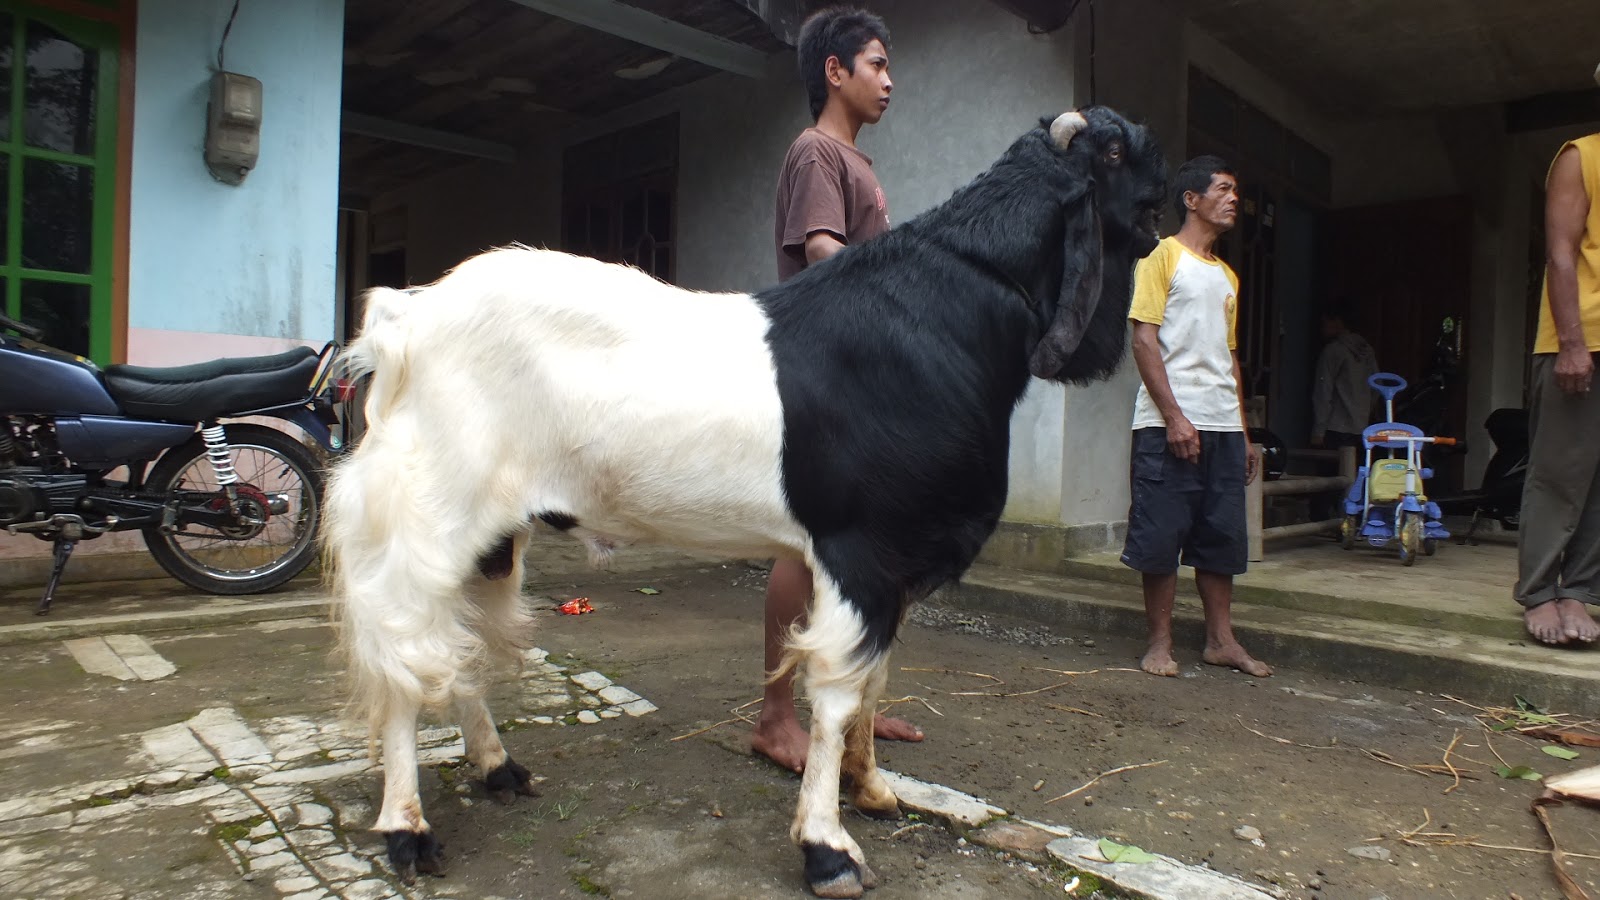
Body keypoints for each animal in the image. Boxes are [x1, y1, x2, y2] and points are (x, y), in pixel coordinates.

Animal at [321, 104, 1164, 890]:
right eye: (1120, 150)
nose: (1176, 202)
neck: (951, 307)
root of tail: (406, 318)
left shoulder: (893, 561)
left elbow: (877, 680)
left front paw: (873, 790)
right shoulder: (858, 549)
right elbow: (837, 691)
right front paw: (827, 848)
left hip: (489, 533)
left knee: (457, 644)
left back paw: (497, 767)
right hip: (427, 513)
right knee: (407, 655)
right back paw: (408, 831)